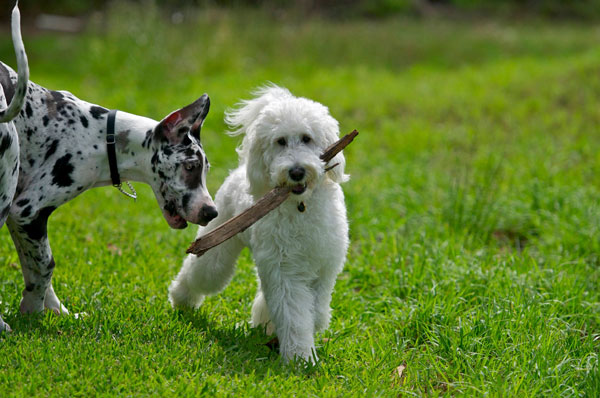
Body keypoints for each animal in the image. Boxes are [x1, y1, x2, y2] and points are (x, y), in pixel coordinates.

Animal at [0, 13, 219, 332]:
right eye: (190, 167)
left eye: (205, 170)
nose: (212, 212)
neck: (103, 135)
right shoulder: (27, 211)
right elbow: (45, 265)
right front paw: (32, 314)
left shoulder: (23, 221)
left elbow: (34, 266)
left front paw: (54, 311)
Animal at [166, 85, 350, 362]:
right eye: (280, 141)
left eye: (307, 138)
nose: (296, 171)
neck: (300, 205)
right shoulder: (284, 270)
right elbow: (295, 315)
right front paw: (300, 358)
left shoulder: (324, 266)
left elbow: (316, 311)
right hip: (216, 251)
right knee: (199, 273)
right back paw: (180, 300)